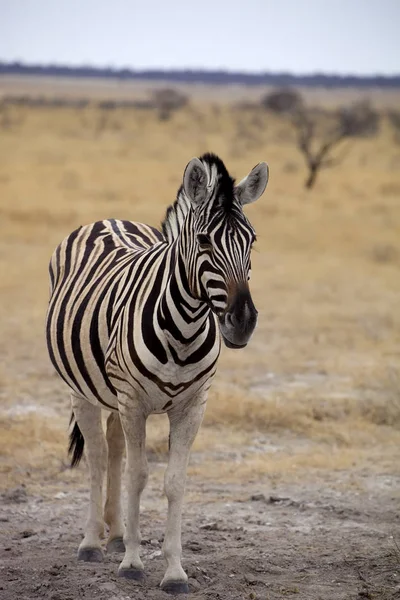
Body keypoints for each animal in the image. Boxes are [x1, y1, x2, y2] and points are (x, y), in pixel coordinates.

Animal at [46, 152, 268, 592]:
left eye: (252, 240)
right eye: (204, 241)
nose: (242, 322)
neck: (183, 328)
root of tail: (109, 218)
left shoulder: (192, 406)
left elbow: (174, 482)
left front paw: (174, 571)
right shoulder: (134, 402)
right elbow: (138, 476)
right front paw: (132, 563)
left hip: (114, 393)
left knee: (114, 448)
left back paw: (115, 535)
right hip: (84, 390)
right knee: (99, 456)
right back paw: (93, 542)